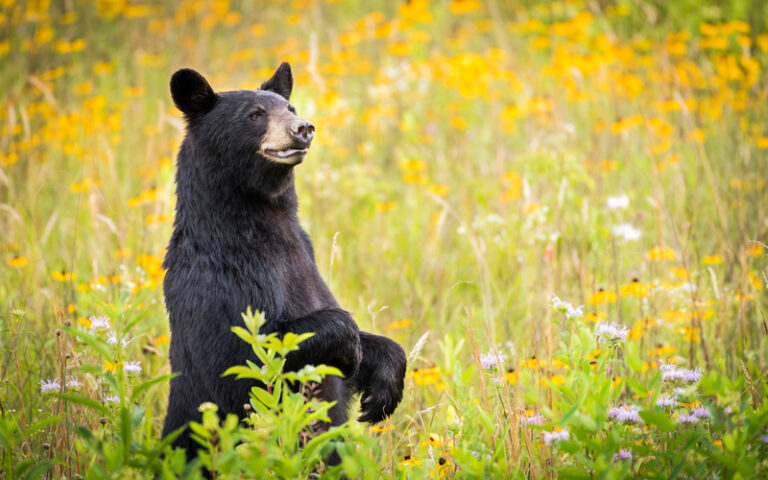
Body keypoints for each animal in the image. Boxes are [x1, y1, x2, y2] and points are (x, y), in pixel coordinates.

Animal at [161, 63, 407, 462]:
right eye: (255, 115)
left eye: (290, 108)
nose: (303, 128)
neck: (266, 227)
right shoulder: (217, 282)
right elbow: (241, 354)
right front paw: (350, 343)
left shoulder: (305, 258)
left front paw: (383, 386)